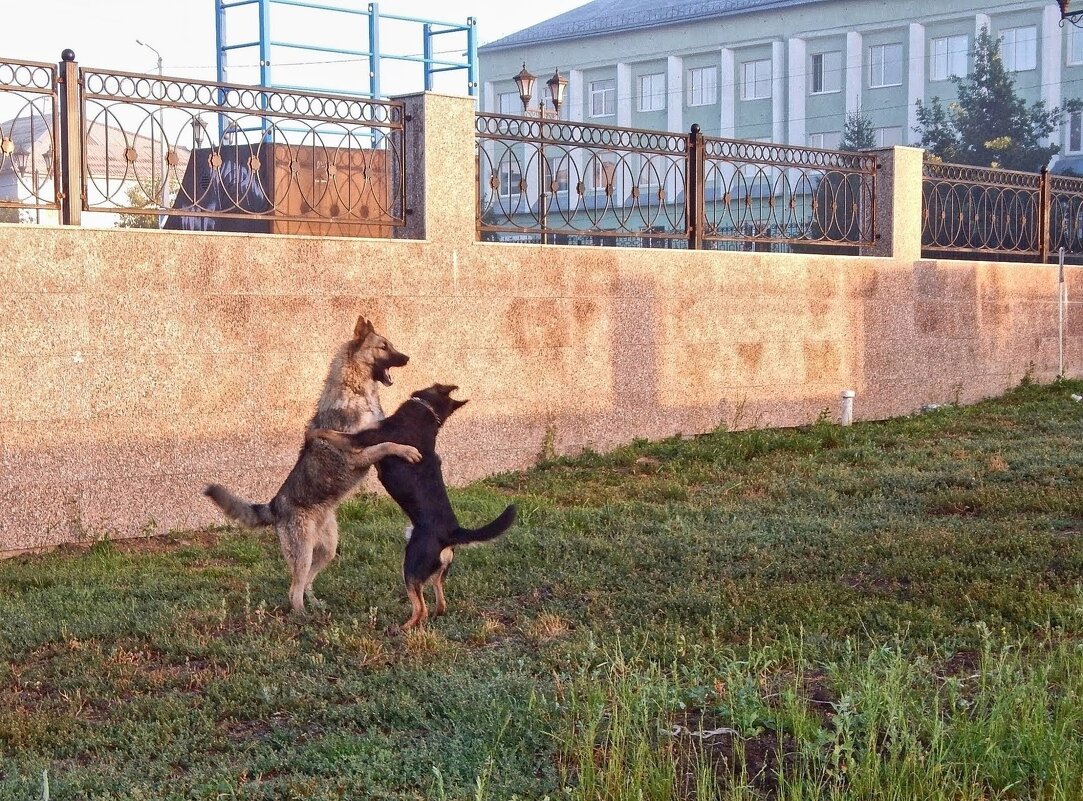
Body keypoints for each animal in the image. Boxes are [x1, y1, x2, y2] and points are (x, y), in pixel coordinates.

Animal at [204, 313, 420, 614]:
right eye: (383, 347)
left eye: (391, 345)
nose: (408, 358)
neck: (356, 390)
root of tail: (274, 506)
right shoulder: (357, 452)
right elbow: (387, 445)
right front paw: (407, 450)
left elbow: (387, 442)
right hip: (303, 552)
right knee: (293, 590)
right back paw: (303, 615)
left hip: (327, 550)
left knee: (306, 582)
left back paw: (316, 604)